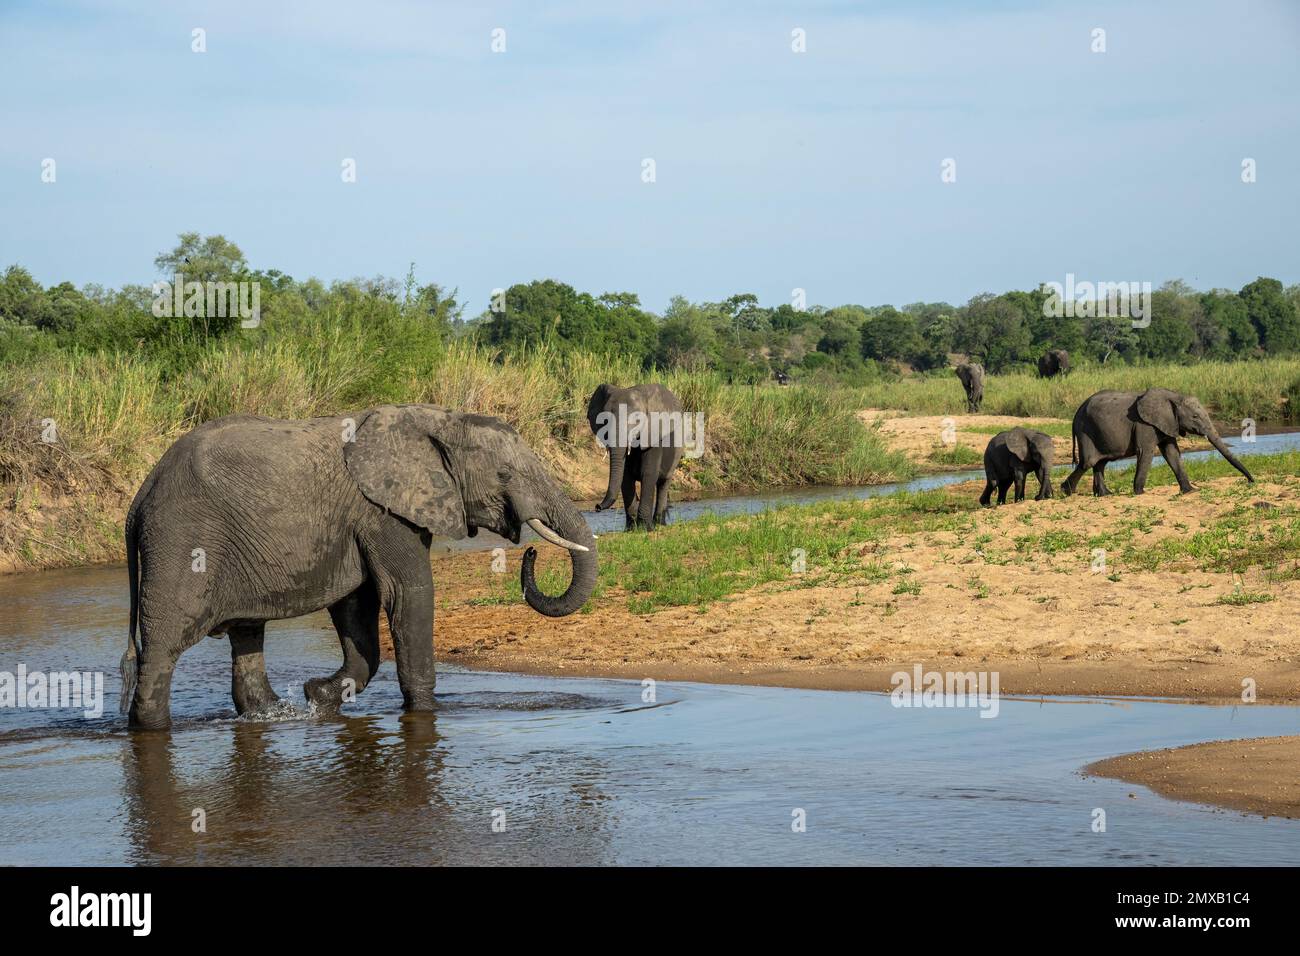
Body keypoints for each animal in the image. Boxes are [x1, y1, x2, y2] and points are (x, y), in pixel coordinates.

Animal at [119, 400, 595, 728]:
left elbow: (355, 607)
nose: (531, 551)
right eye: (505, 475)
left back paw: (272, 712)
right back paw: (153, 726)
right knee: (164, 646)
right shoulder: (381, 512)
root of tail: (139, 498)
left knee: (247, 634)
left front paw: (318, 697)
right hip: (180, 541)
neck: (436, 419)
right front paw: (424, 711)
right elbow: (407, 594)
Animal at [590, 382, 691, 530]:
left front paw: (645, 528)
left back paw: (659, 524)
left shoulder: (654, 435)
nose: (597, 507)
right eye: (604, 420)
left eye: (637, 420)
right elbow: (625, 477)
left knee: (663, 483)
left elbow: (648, 473)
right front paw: (632, 529)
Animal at [1060, 390, 1253, 496]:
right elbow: (1145, 452)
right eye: (1195, 417)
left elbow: (1172, 453)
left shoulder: (1168, 424)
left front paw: (1190, 491)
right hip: (1085, 430)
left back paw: (1105, 494)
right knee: (1089, 461)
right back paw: (1066, 491)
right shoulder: (1144, 424)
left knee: (1101, 462)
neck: (1174, 396)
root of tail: (1076, 413)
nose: (1251, 481)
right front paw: (1140, 493)